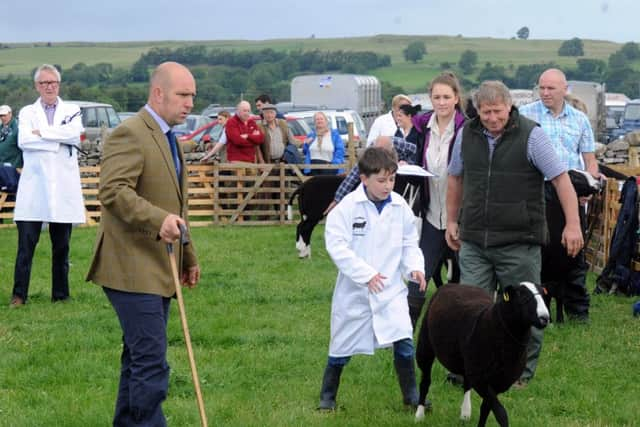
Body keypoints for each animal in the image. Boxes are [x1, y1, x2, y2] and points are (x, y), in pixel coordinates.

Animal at [416, 282, 552, 426]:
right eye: (522, 296)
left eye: (544, 295)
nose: (545, 318)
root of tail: (455, 284)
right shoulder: (480, 379)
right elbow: (501, 413)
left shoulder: (499, 382)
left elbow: (485, 409)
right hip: (425, 345)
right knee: (425, 381)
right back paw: (419, 415)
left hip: (468, 363)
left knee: (466, 383)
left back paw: (465, 414)